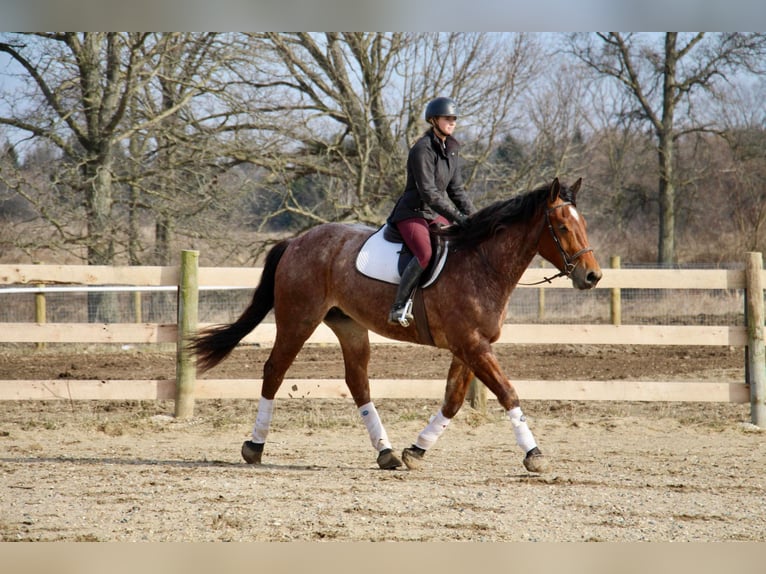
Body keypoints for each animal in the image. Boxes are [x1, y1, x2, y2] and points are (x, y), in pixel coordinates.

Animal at [189, 178, 604, 474]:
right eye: (562, 227)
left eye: (583, 223)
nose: (592, 276)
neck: (483, 264)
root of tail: (295, 241)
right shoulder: (473, 345)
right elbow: (508, 393)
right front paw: (534, 454)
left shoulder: (470, 347)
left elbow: (453, 401)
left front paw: (415, 450)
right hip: (298, 319)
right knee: (275, 370)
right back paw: (254, 446)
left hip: (350, 327)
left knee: (358, 382)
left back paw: (385, 452)